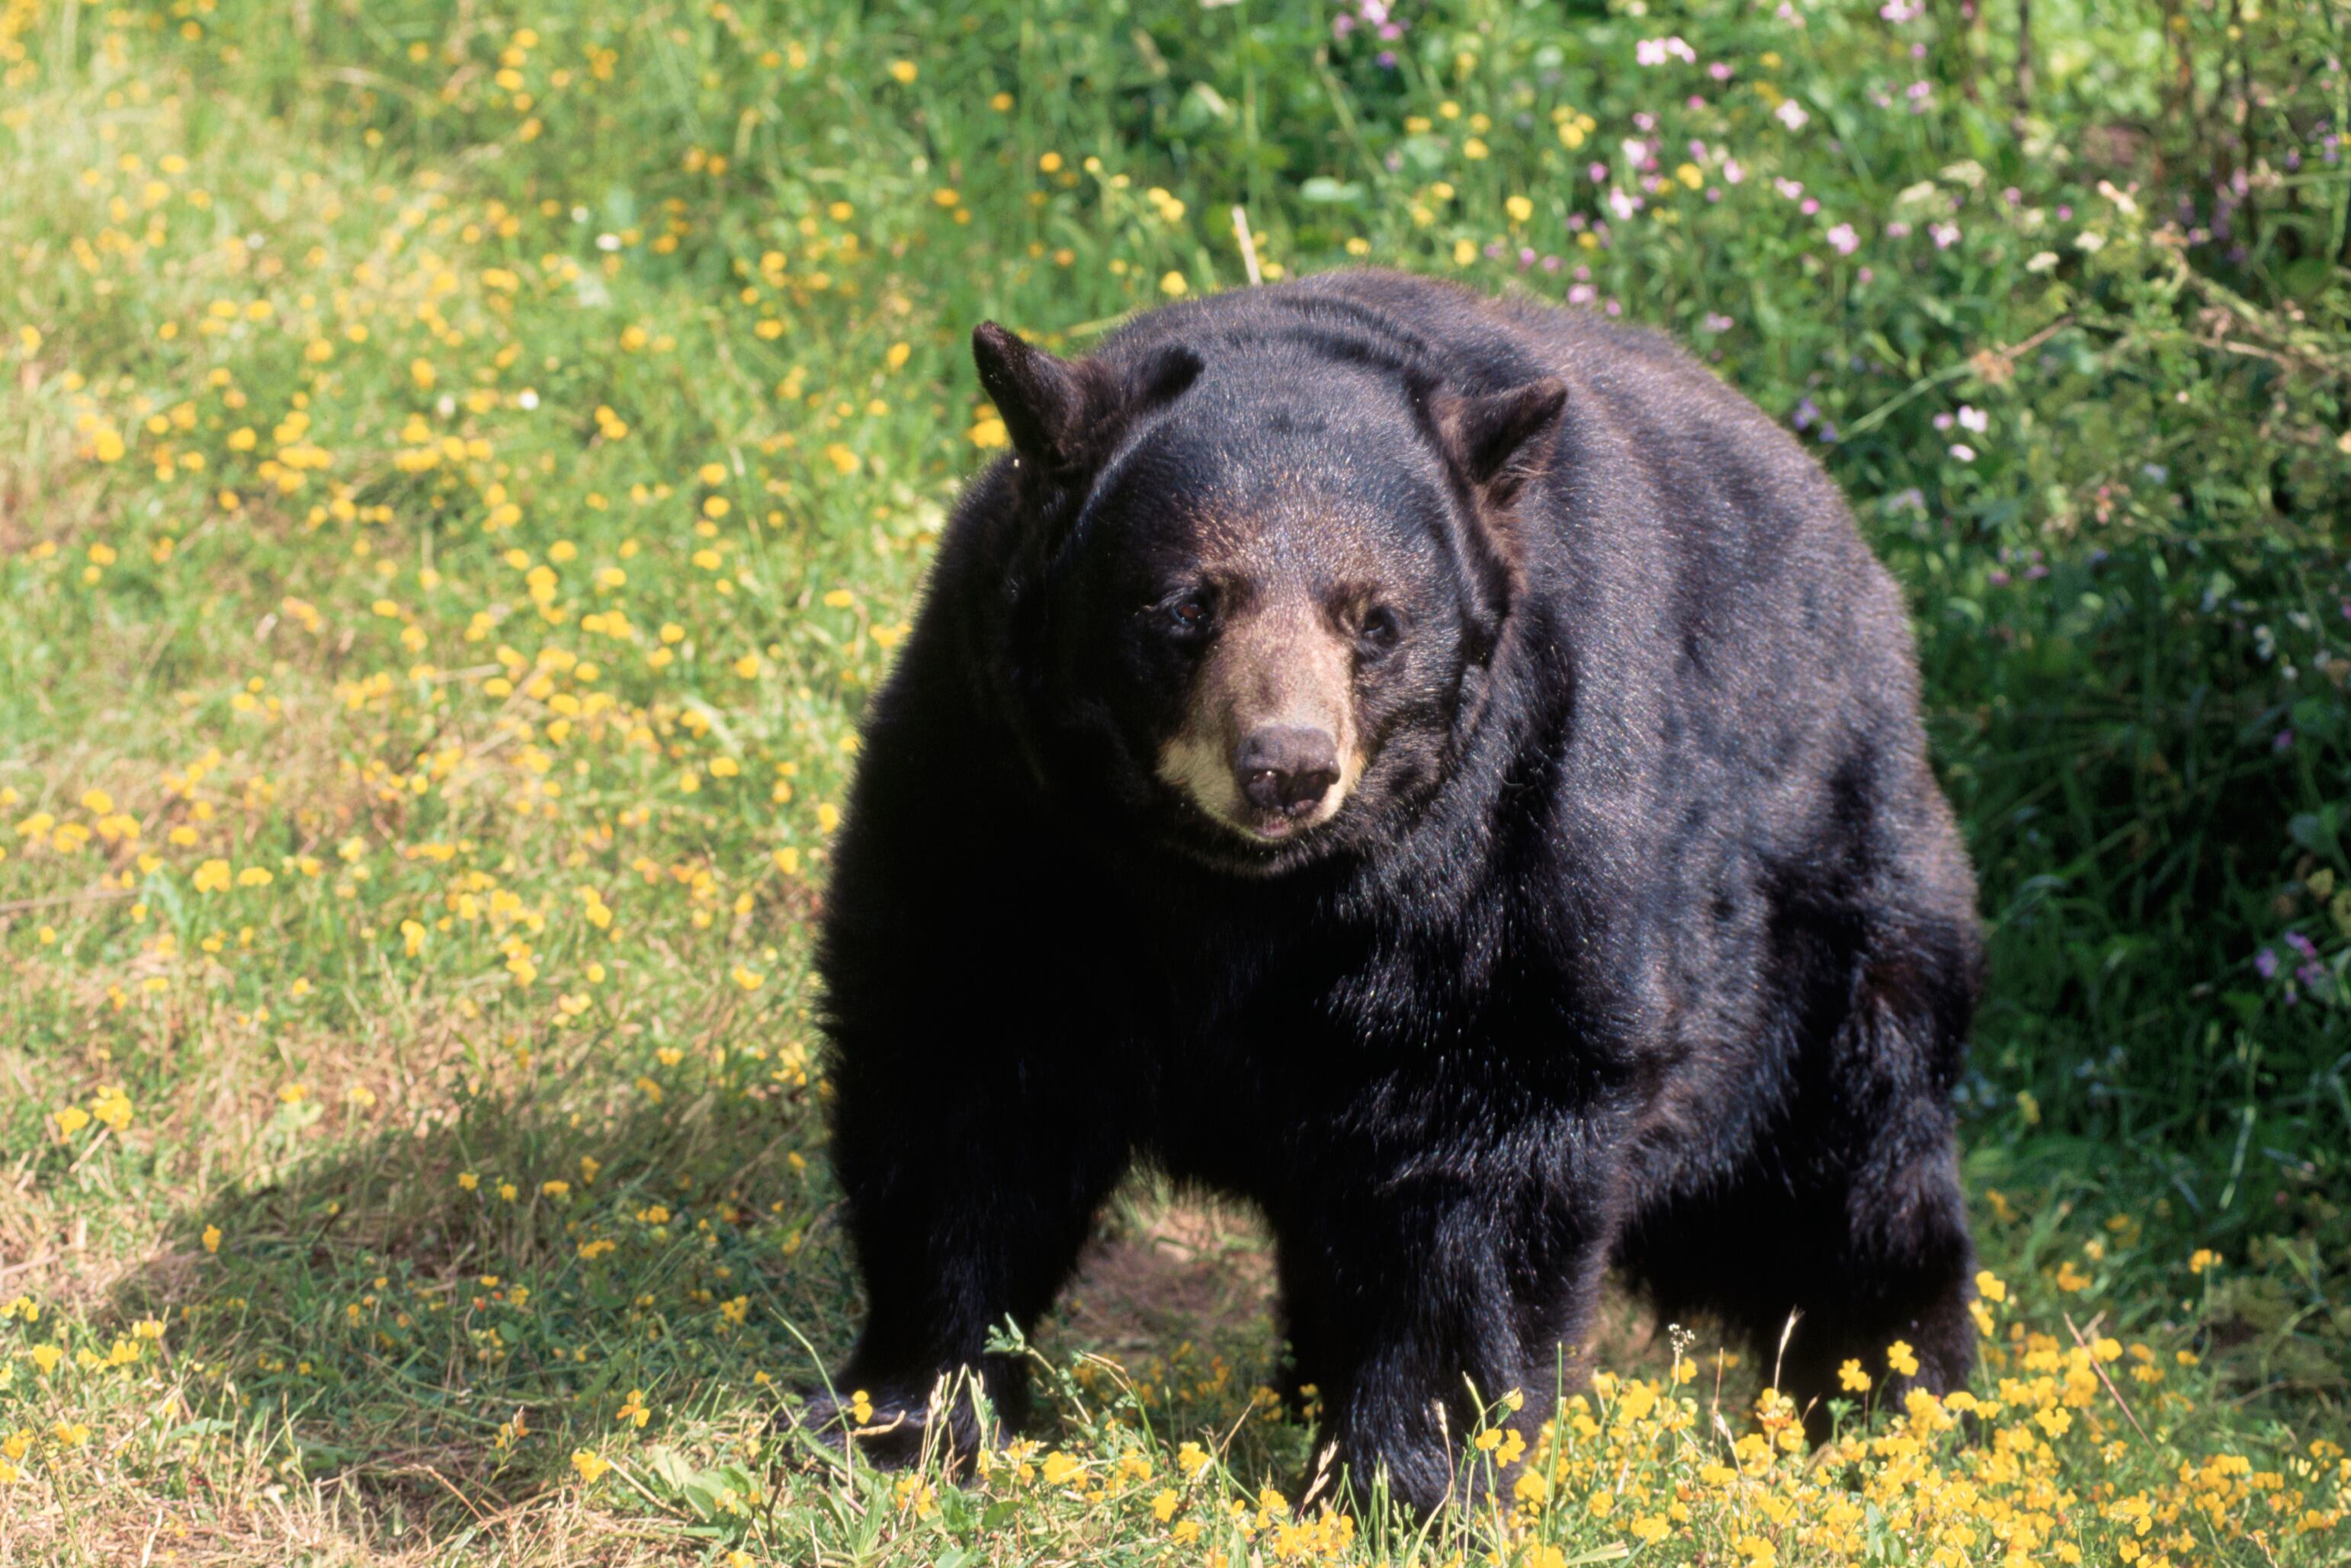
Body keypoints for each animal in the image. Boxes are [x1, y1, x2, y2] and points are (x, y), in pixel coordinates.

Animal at [804, 268, 1982, 1512]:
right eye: (1187, 604)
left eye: (1374, 619)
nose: (1286, 763)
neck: (1236, 892)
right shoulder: (1004, 792)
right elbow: (967, 1067)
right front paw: (910, 1414)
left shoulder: (1514, 830)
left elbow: (1484, 1137)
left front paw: (1409, 1481)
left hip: (1822, 919)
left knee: (1845, 1164)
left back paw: (1891, 1410)